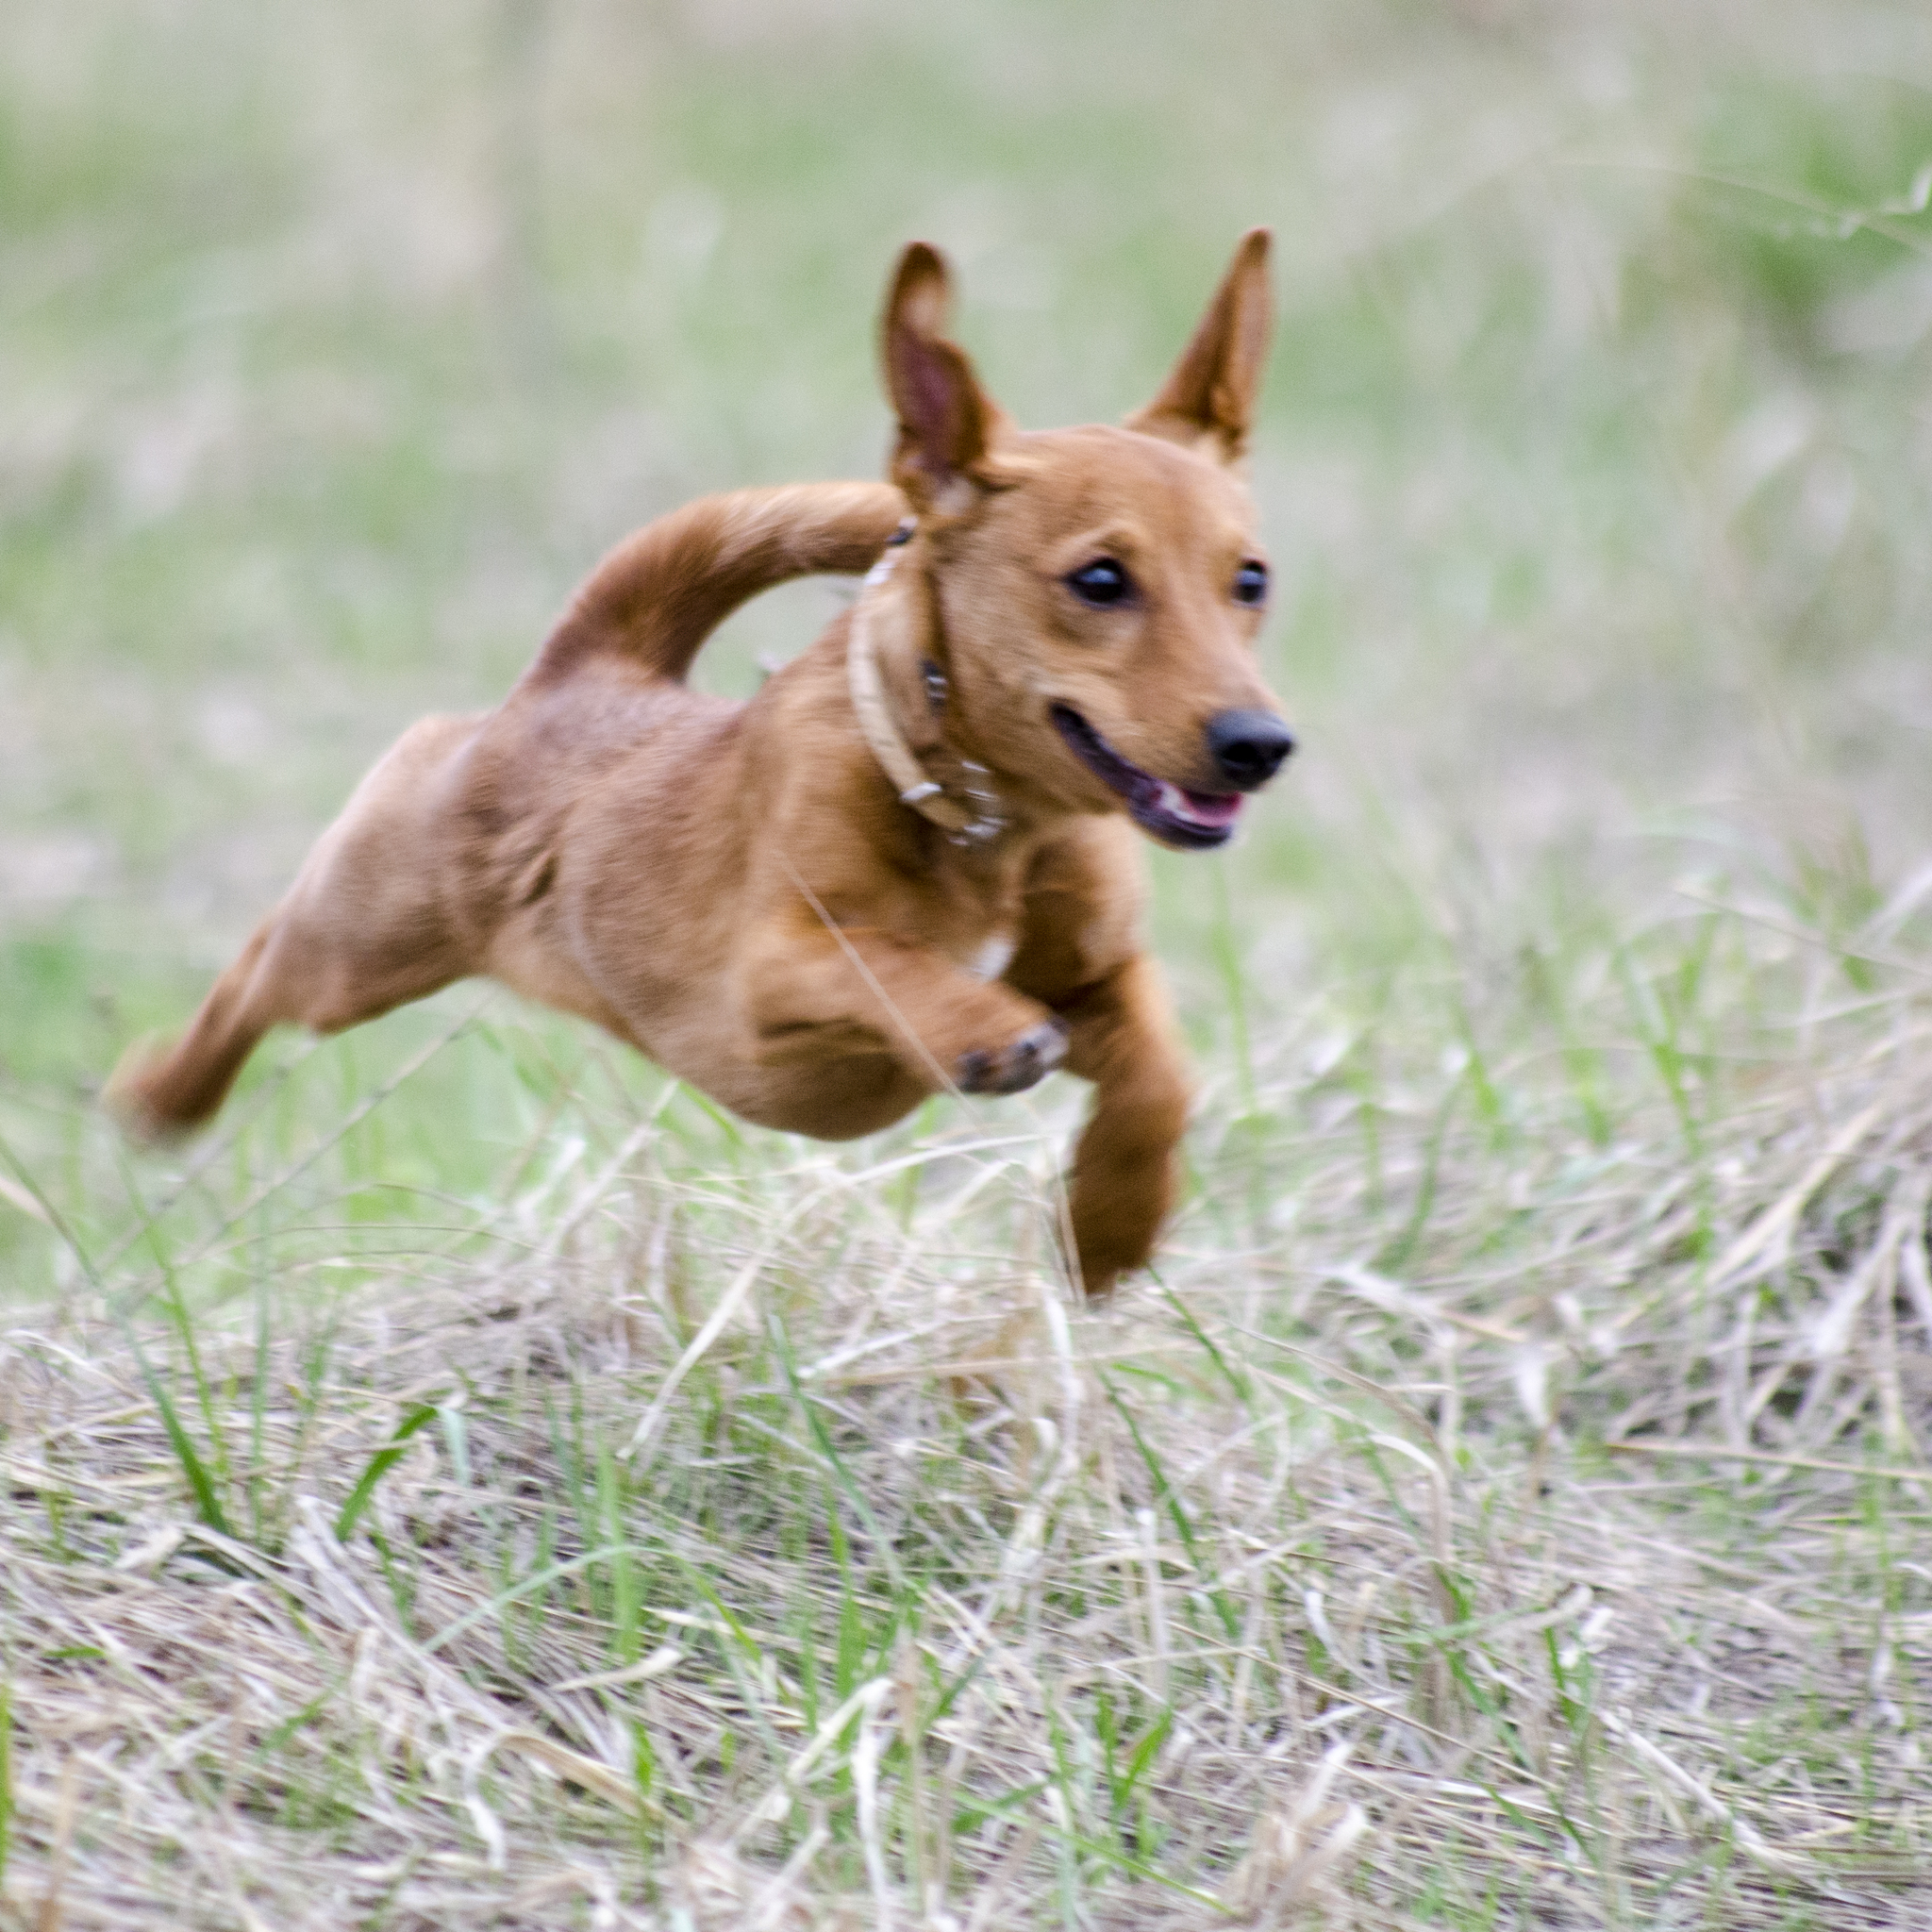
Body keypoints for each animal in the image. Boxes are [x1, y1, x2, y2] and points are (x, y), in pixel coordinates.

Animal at [116, 237, 1298, 1298]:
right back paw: (160, 1096)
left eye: (1249, 578)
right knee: (256, 971)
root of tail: (586, 668)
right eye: (1098, 579)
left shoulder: (1101, 982)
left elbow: (1161, 1079)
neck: (986, 825)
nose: (1258, 744)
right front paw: (985, 1029)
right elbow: (886, 961)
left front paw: (1106, 1230)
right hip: (362, 944)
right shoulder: (764, 973)